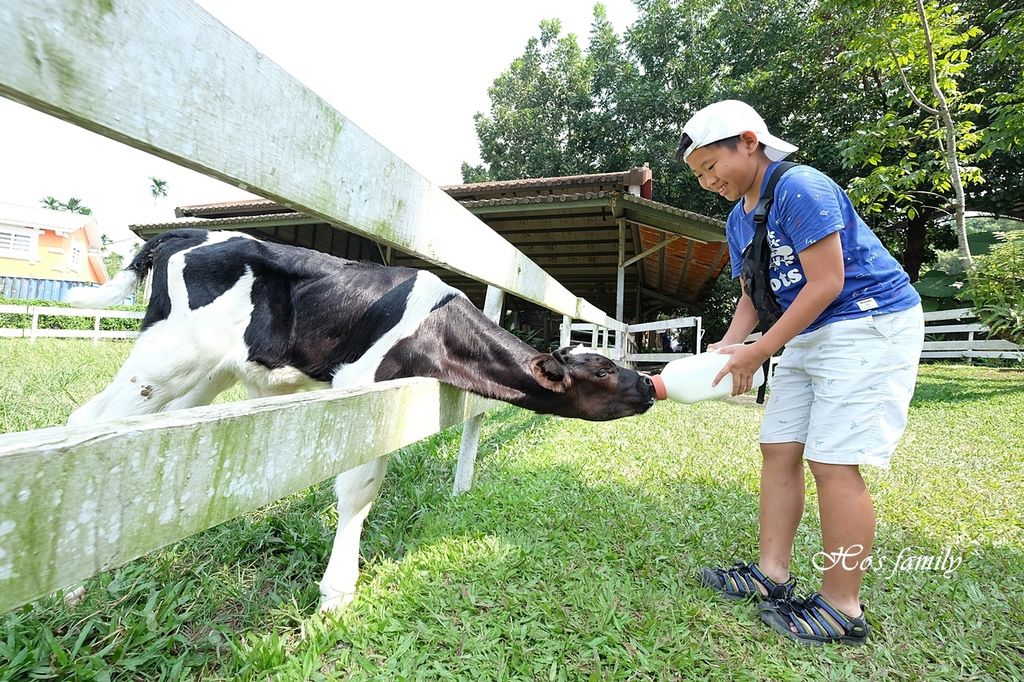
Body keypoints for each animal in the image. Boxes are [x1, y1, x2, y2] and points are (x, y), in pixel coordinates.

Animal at [68, 229, 651, 610]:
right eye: (602, 369)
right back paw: (74, 581)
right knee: (90, 419)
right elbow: (360, 488)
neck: (439, 327)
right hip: (165, 357)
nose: (648, 385)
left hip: (207, 372)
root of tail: (183, 231)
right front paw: (337, 594)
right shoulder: (357, 386)